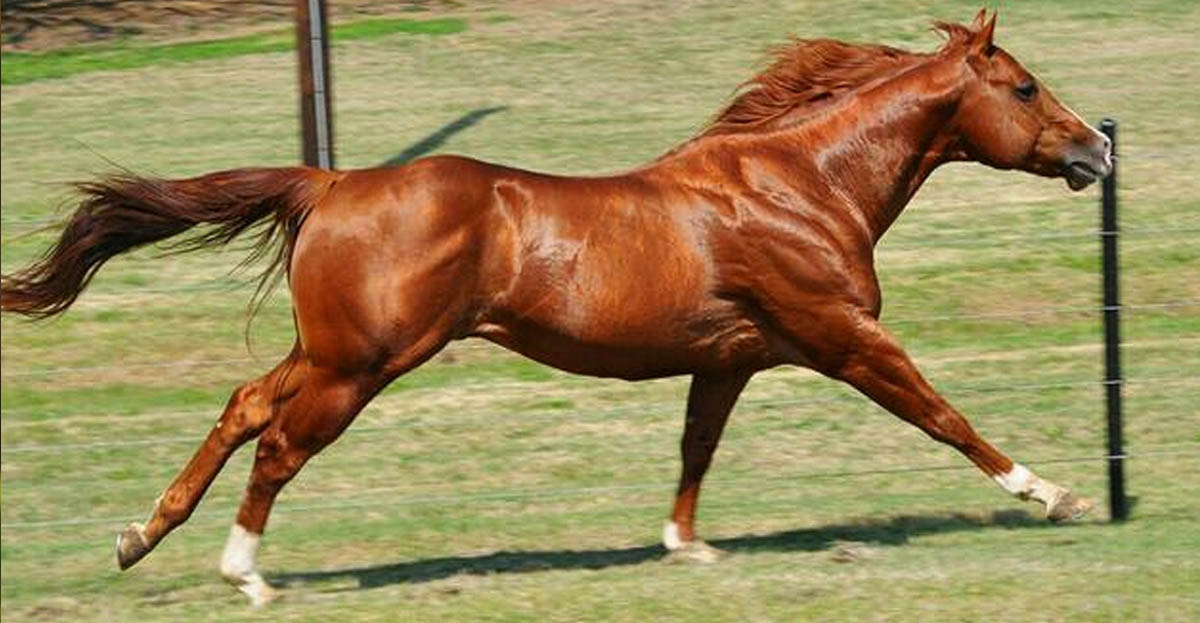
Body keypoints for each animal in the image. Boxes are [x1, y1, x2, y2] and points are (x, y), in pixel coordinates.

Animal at [0, 9, 1108, 604]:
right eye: (1022, 85)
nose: (1098, 146)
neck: (798, 184)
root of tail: (332, 180)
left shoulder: (731, 357)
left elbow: (696, 446)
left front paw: (686, 544)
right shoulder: (842, 336)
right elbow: (943, 414)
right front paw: (1054, 493)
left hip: (328, 349)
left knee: (242, 405)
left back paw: (140, 534)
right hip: (361, 363)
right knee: (277, 443)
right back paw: (247, 572)